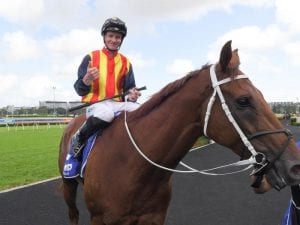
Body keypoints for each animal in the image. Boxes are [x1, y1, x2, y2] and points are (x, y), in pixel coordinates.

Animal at [57, 40, 300, 225]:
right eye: (243, 101)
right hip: (69, 187)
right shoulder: (101, 219)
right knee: (73, 213)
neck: (132, 164)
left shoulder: (153, 218)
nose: (295, 165)